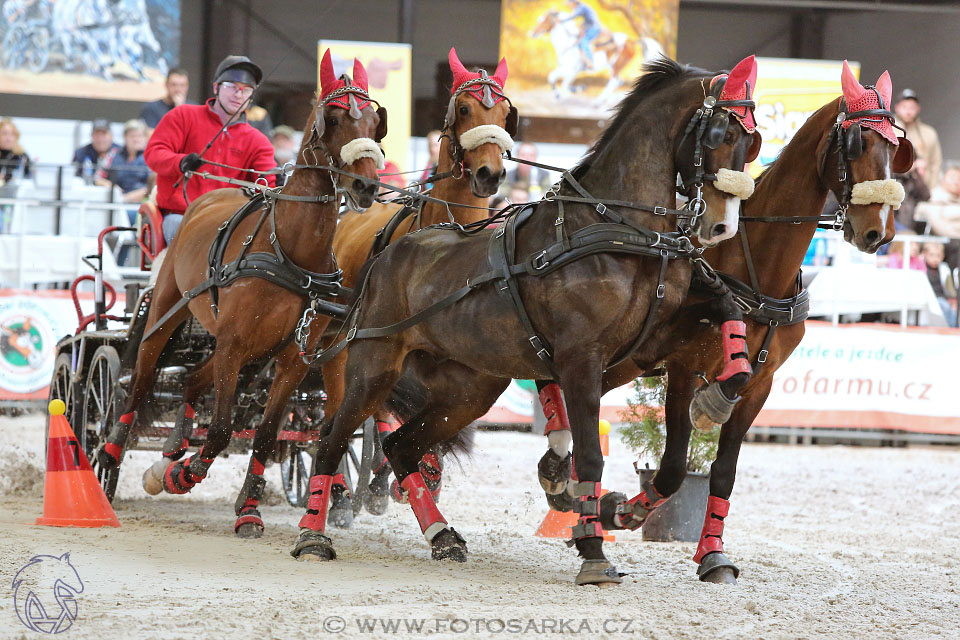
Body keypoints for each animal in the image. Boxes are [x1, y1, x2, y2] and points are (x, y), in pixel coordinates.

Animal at [95, 51, 384, 540]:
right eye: (334, 118)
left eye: (373, 120)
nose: (366, 187)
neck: (290, 250)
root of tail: (211, 197)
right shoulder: (234, 345)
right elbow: (221, 428)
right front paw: (184, 475)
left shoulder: (290, 358)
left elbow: (264, 435)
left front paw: (247, 508)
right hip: (165, 314)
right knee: (139, 385)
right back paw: (112, 459)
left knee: (191, 382)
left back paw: (172, 449)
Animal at [292, 56, 764, 584]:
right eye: (720, 132)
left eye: (752, 141)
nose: (721, 225)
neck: (618, 227)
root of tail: (385, 255)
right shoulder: (582, 359)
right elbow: (590, 455)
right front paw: (593, 550)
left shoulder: (650, 341)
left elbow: (727, 309)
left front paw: (719, 396)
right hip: (373, 367)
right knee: (331, 439)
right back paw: (313, 535)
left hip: (468, 391)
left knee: (401, 446)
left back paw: (441, 535)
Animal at [536, 62, 912, 584]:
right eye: (856, 144)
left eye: (896, 149)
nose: (879, 232)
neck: (759, 267)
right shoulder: (683, 367)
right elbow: (674, 466)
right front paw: (622, 511)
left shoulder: (761, 385)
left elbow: (724, 470)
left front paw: (712, 553)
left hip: (625, 361)